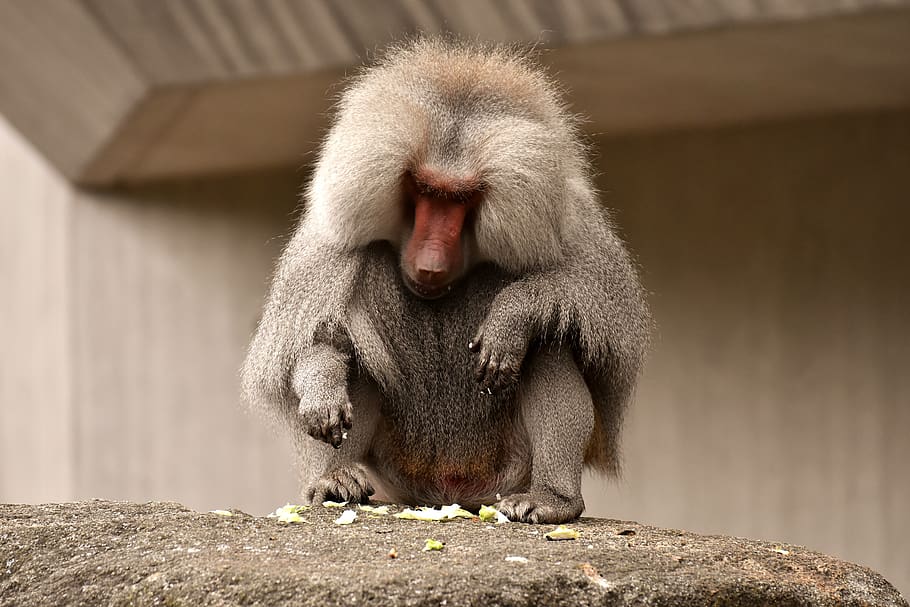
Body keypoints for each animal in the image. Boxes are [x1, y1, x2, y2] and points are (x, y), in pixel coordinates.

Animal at [241, 38, 650, 524]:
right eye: (424, 190)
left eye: (462, 198)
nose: (432, 262)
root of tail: (449, 492)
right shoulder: (327, 244)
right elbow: (313, 339)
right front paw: (323, 392)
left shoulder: (572, 221)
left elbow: (595, 311)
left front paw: (511, 317)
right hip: (399, 469)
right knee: (360, 346)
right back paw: (335, 480)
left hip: (506, 468)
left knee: (546, 345)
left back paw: (553, 500)